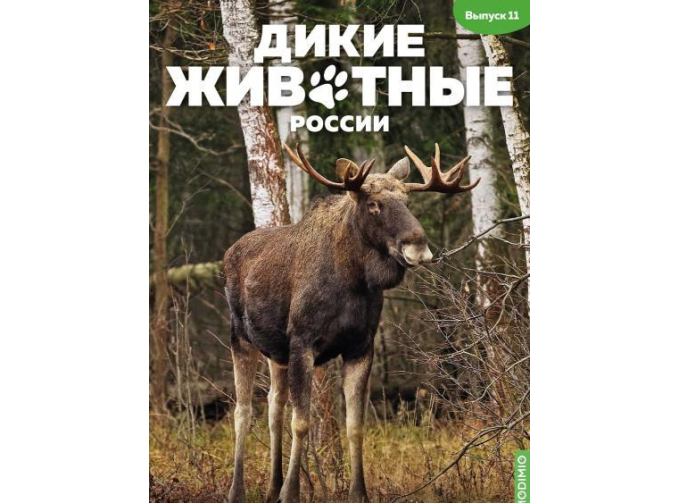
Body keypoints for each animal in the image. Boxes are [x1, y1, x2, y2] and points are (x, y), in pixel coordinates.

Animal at [223, 143, 479, 503]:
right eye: (373, 205)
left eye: (408, 201)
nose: (419, 247)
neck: (353, 281)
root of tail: (228, 252)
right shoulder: (302, 343)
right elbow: (301, 423)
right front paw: (292, 493)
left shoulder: (360, 346)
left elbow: (355, 425)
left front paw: (358, 493)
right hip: (240, 337)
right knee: (243, 411)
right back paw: (238, 490)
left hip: (277, 352)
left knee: (274, 406)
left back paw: (272, 487)